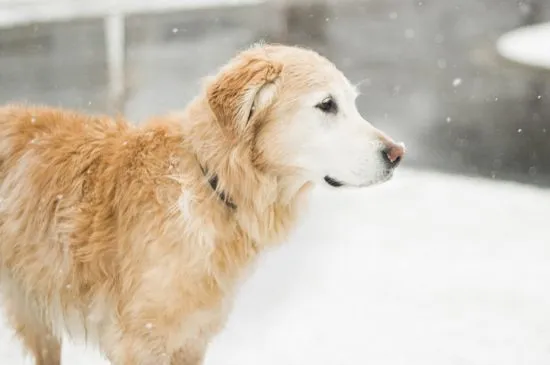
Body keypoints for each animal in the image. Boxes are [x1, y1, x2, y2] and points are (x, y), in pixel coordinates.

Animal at [0, 43, 406, 364]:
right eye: (326, 105)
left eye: (351, 103)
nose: (397, 153)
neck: (210, 182)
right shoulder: (140, 342)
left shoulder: (192, 340)